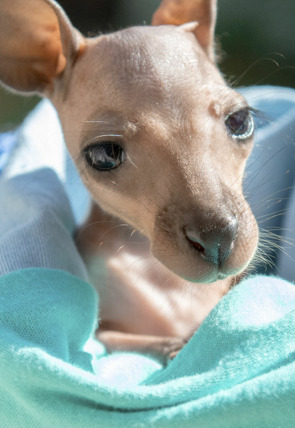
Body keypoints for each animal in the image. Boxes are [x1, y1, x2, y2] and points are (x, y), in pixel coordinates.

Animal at [0, 0, 260, 358]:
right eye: (104, 155)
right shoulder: (102, 334)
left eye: (240, 120)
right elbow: (115, 341)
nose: (217, 240)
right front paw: (180, 345)